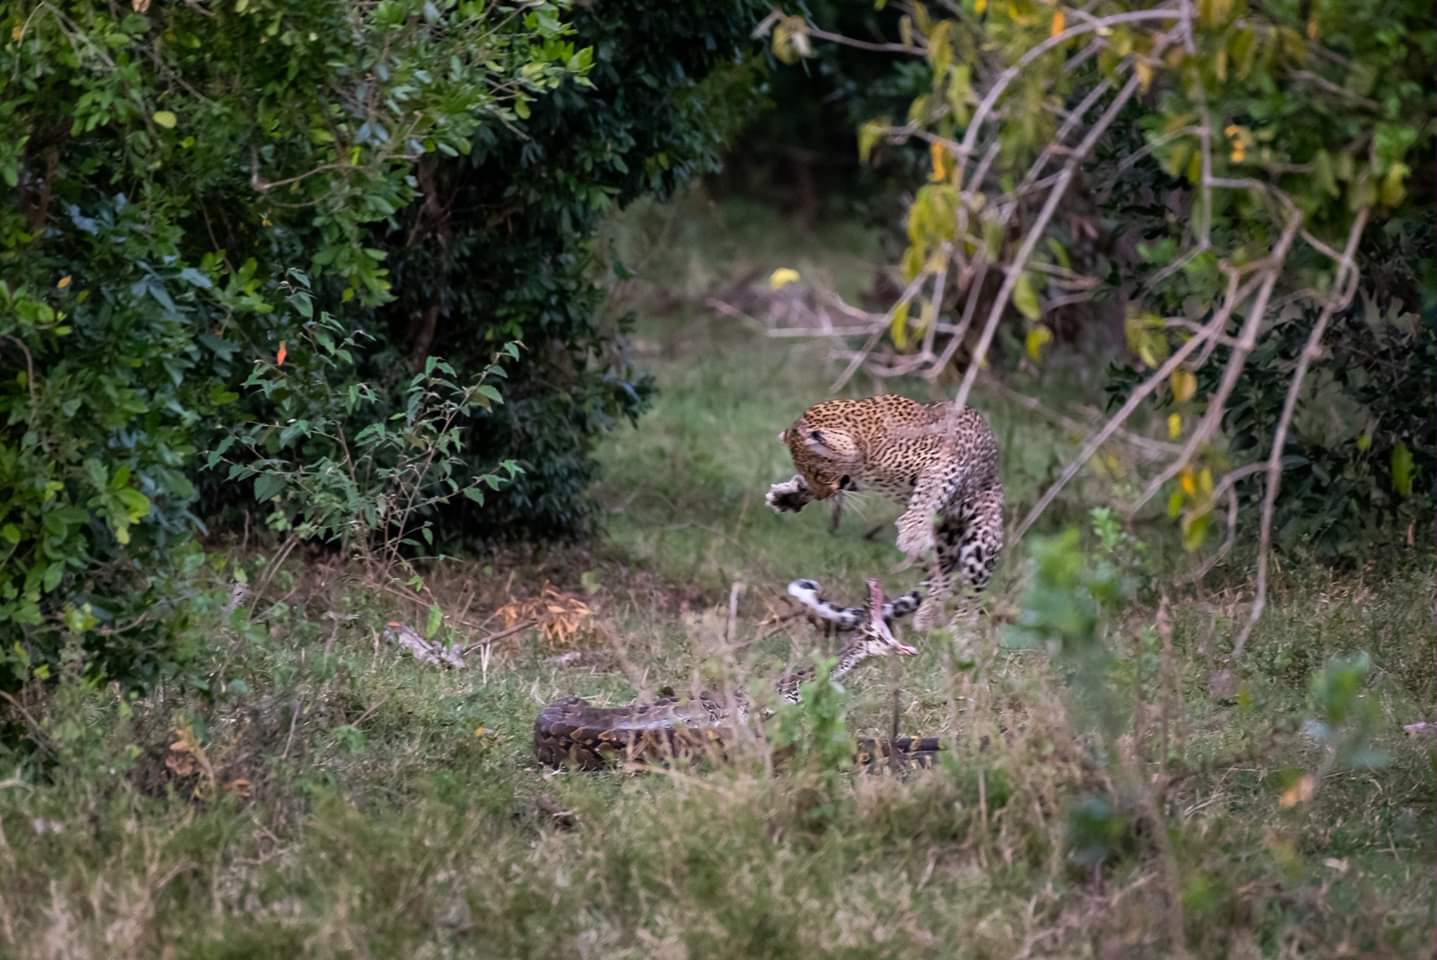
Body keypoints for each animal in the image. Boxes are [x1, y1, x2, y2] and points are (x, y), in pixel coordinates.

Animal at [764, 393, 1000, 640]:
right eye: (807, 473)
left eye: (818, 473)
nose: (822, 495)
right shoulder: (856, 476)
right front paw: (786, 496)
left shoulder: (944, 462)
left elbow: (927, 492)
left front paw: (911, 533)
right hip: (944, 543)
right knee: (941, 574)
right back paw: (927, 616)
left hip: (982, 540)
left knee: (973, 590)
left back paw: (959, 628)